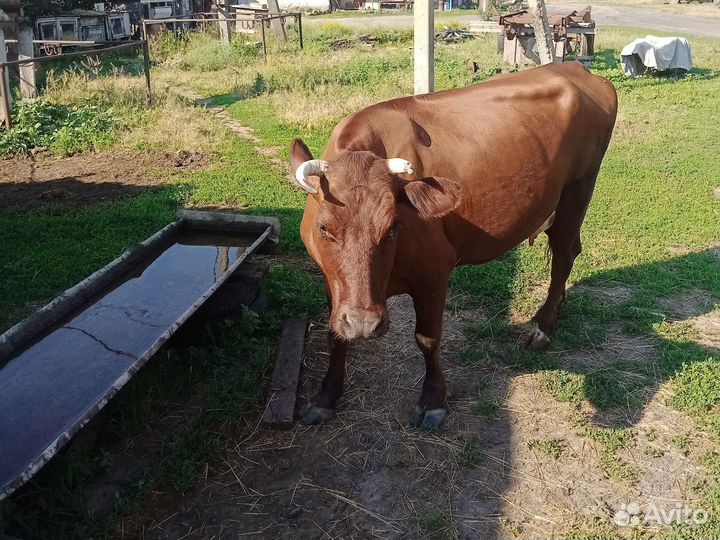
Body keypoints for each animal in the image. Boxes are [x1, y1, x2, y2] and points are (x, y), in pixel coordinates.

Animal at [289, 61, 618, 429]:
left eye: (394, 227)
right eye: (324, 229)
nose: (363, 324)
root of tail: (574, 67)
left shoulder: (433, 270)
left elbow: (427, 338)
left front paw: (433, 400)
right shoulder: (330, 279)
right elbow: (334, 334)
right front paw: (325, 396)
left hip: (579, 186)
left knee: (564, 253)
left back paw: (542, 327)